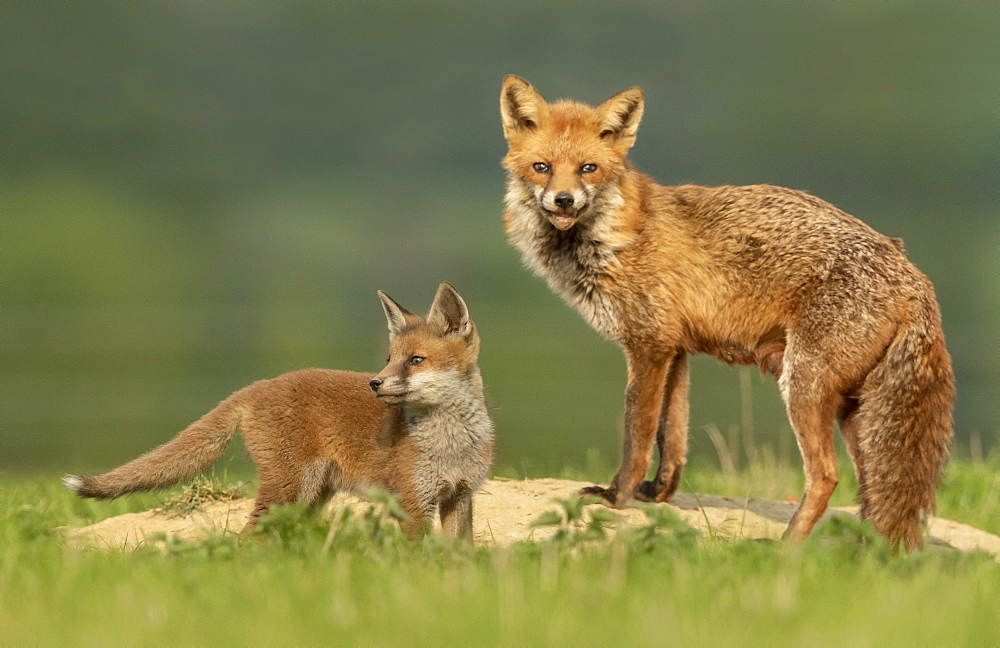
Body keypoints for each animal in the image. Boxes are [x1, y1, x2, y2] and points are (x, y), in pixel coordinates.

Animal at [64, 284, 494, 540]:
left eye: (415, 360)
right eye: (389, 360)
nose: (374, 383)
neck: (451, 443)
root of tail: (259, 384)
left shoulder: (459, 497)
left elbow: (460, 556)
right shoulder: (413, 503)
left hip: (309, 497)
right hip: (288, 490)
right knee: (246, 540)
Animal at [500, 76, 952, 552]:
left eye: (588, 168)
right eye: (542, 167)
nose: (563, 201)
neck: (617, 237)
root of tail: (915, 276)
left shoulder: (648, 345)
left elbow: (637, 432)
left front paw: (616, 496)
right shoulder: (675, 350)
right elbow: (672, 435)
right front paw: (656, 494)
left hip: (804, 385)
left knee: (827, 478)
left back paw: (785, 548)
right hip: (854, 409)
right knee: (874, 489)